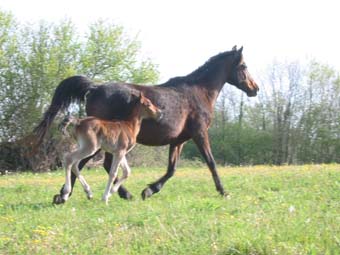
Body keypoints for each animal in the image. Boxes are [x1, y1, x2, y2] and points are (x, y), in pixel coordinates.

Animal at [33, 45, 258, 203]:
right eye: (244, 66)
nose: (254, 89)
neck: (198, 93)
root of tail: (95, 88)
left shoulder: (178, 141)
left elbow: (172, 169)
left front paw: (149, 190)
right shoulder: (200, 133)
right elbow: (211, 163)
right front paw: (224, 191)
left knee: (89, 164)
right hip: (99, 143)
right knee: (82, 163)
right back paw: (69, 195)